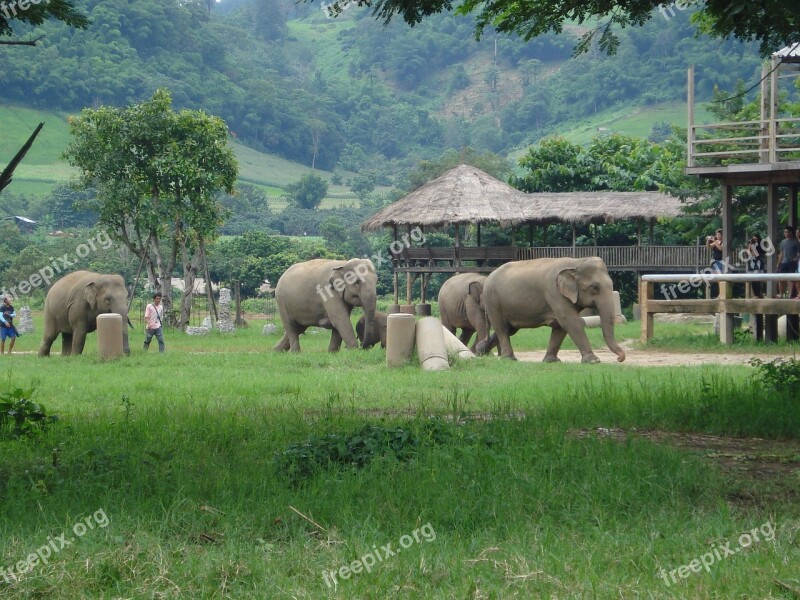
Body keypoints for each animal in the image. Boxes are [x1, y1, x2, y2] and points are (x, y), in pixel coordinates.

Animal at [476, 256, 624, 364]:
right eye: (595, 287)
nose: (620, 358)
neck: (576, 262)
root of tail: (488, 277)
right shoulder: (554, 292)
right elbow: (569, 320)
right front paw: (593, 361)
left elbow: (560, 326)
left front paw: (552, 361)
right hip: (493, 302)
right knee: (502, 328)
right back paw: (508, 359)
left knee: (509, 329)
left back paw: (480, 351)